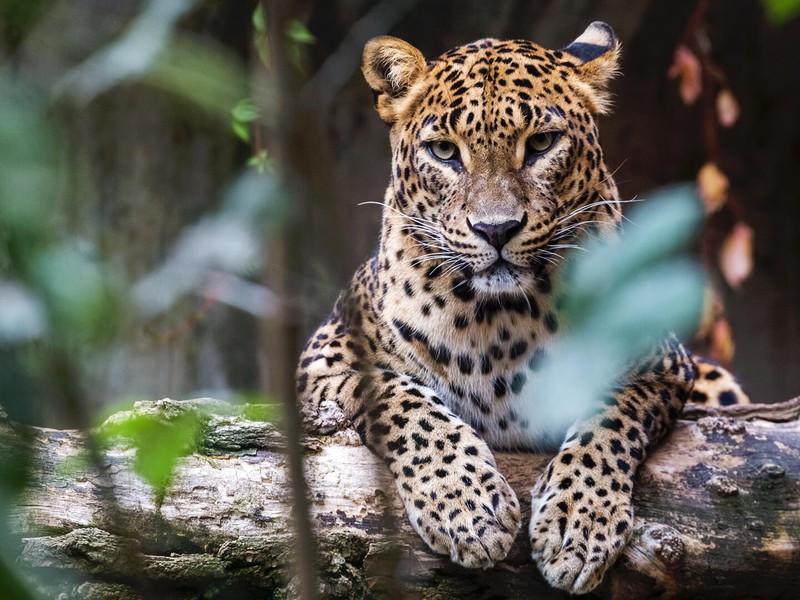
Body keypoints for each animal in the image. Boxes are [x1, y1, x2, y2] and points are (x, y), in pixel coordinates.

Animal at [296, 21, 748, 592]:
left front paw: (578, 525)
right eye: (444, 151)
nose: (497, 229)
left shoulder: (661, 363)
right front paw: (468, 508)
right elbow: (407, 403)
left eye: (540, 144)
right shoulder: (326, 357)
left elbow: (608, 419)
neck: (499, 319)